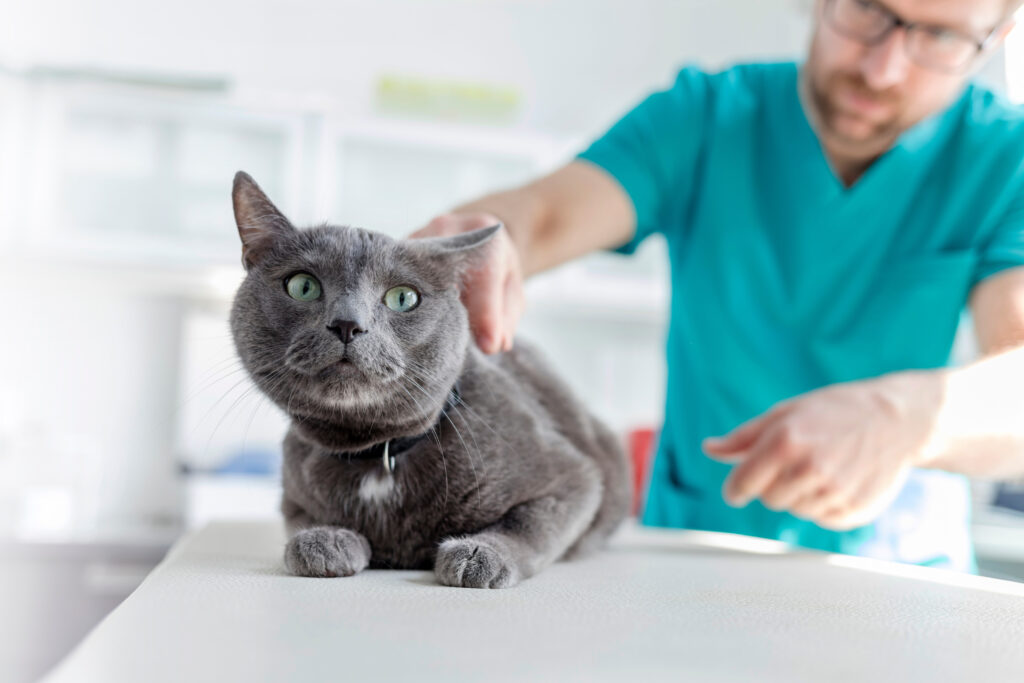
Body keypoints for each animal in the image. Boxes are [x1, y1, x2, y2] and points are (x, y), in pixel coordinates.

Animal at [230, 171, 630, 589]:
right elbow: (299, 520)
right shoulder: (292, 492)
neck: (379, 456)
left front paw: (480, 554)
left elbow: (531, 524)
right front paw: (324, 539)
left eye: (403, 298)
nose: (348, 324)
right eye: (302, 286)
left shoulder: (574, 477)